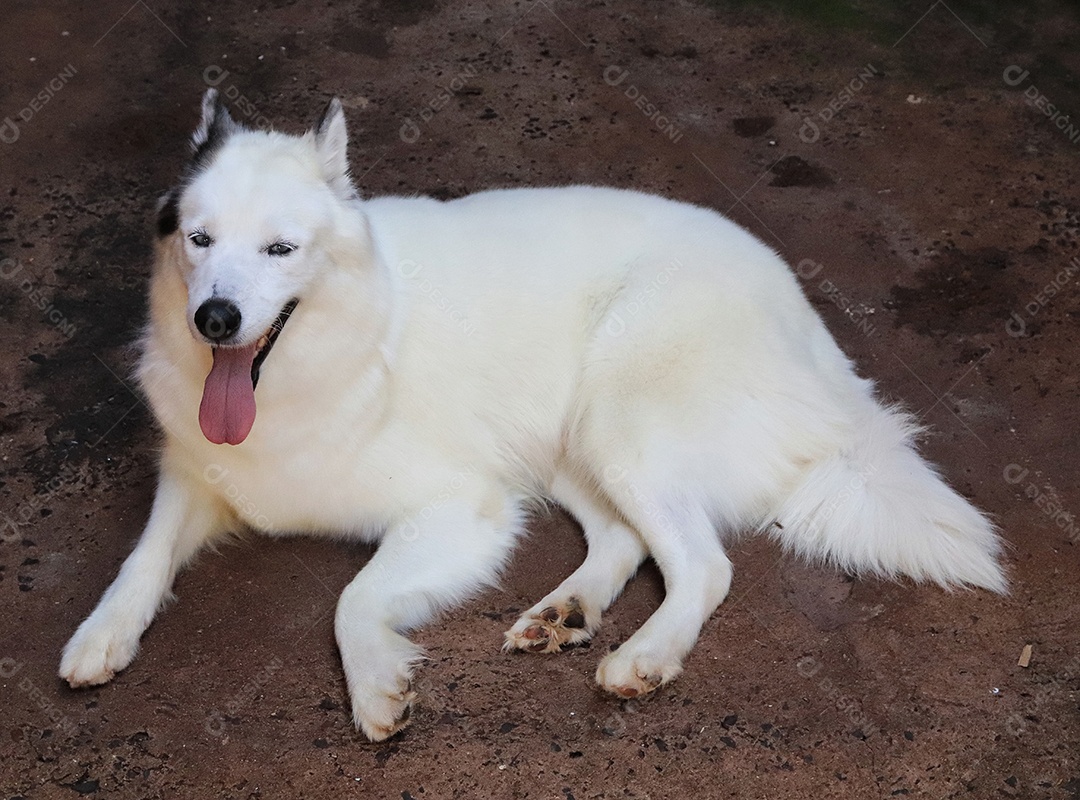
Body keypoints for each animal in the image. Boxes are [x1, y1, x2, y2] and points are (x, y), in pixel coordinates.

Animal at [56, 90, 1002, 738]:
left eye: (280, 250)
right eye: (200, 241)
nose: (214, 320)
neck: (332, 352)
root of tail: (822, 346)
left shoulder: (463, 508)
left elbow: (353, 599)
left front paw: (375, 685)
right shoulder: (193, 474)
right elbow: (144, 556)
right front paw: (102, 632)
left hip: (614, 423)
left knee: (703, 564)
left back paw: (645, 655)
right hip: (564, 443)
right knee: (625, 541)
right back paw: (567, 612)